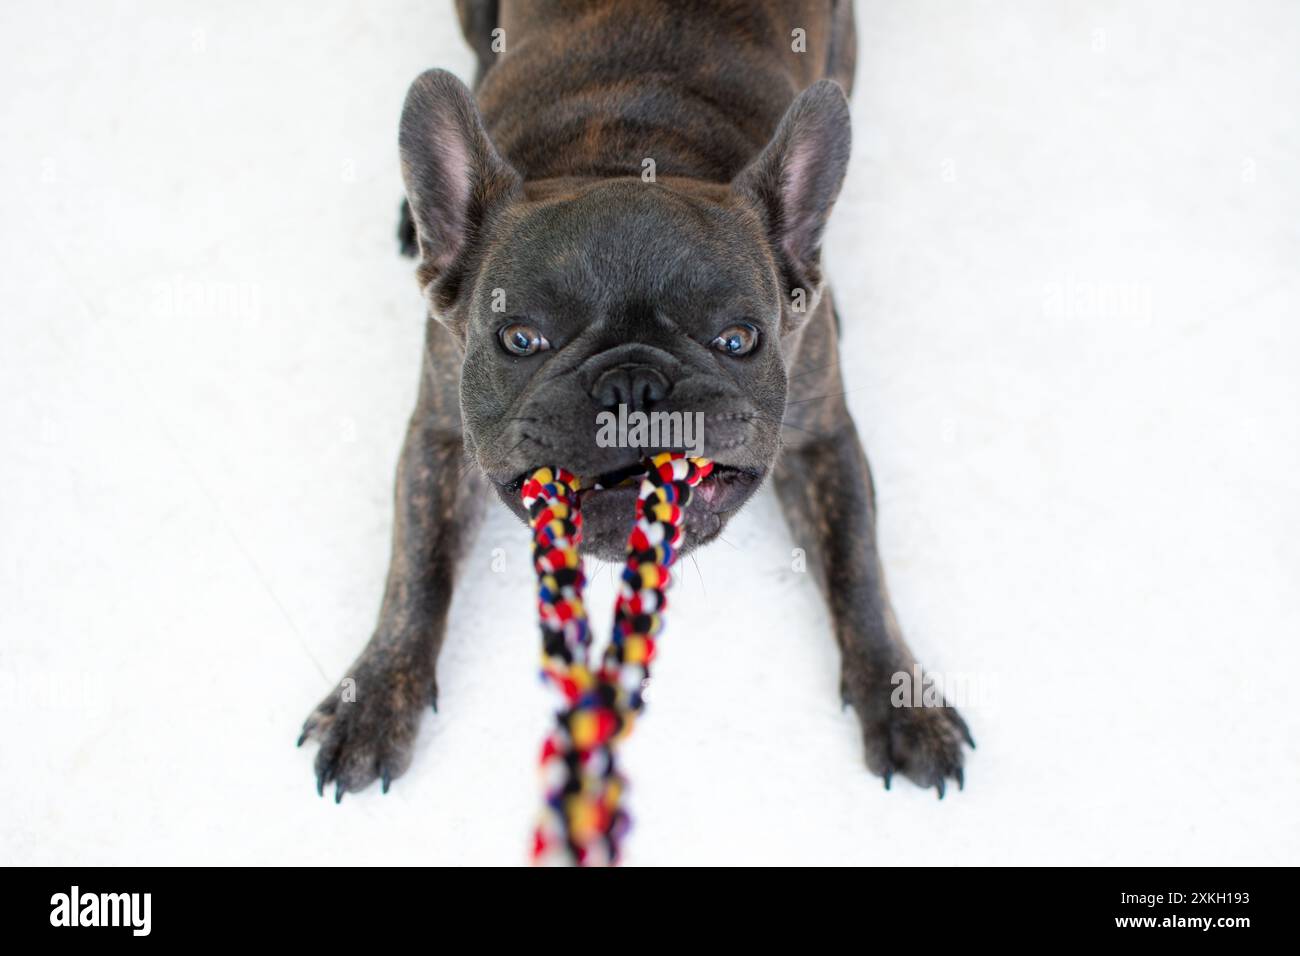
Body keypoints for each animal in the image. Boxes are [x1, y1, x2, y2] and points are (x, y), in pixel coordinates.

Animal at [301, 0, 977, 806]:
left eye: (739, 338)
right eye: (520, 338)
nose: (632, 385)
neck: (633, 154)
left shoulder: (823, 440)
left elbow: (858, 568)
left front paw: (902, 699)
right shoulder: (437, 435)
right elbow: (415, 569)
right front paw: (374, 696)